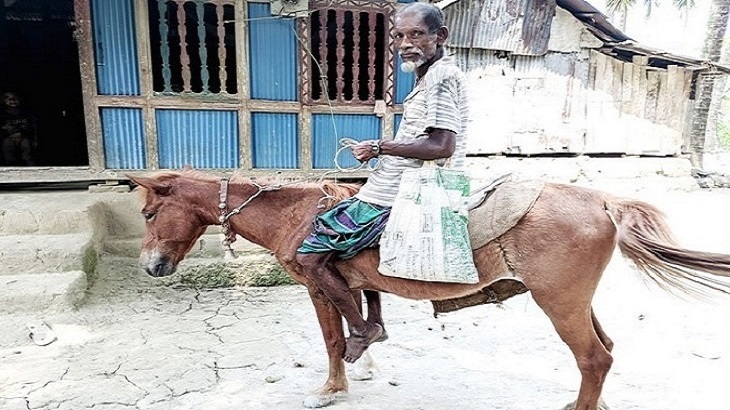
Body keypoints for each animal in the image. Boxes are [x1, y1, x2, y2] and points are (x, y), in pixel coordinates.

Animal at [129, 171, 728, 410]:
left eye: (150, 213)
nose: (150, 267)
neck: (295, 214)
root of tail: (604, 199)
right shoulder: (353, 283)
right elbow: (364, 322)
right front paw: (367, 353)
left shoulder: (318, 285)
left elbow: (331, 342)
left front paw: (332, 389)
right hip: (576, 301)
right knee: (605, 351)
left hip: (558, 303)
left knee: (593, 359)